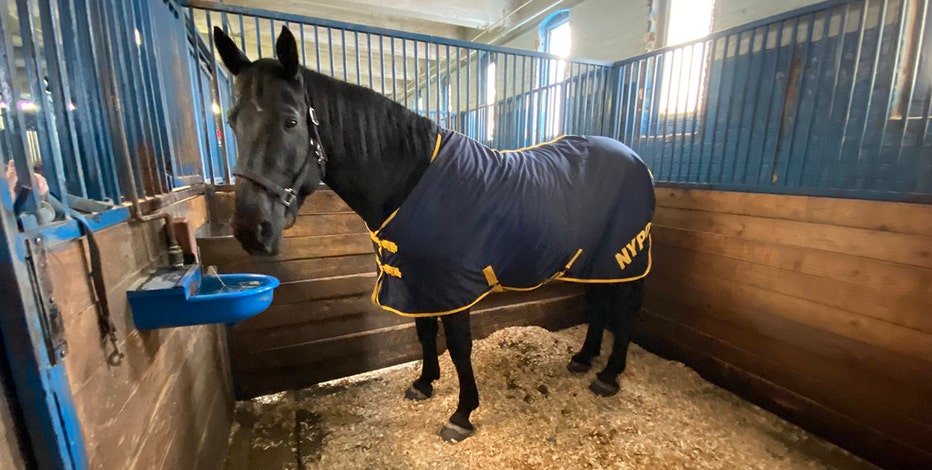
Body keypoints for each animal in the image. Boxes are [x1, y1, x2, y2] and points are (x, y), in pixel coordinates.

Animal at [211, 25, 656, 442]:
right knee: (599, 303)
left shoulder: (452, 287)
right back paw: (583, 358)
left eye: (290, 121)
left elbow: (458, 347)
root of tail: (632, 156)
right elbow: (424, 333)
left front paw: (462, 414)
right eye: (232, 120)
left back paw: (609, 375)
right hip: (596, 260)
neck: (409, 179)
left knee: (628, 306)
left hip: (625, 256)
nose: (251, 229)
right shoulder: (415, 281)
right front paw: (424, 384)